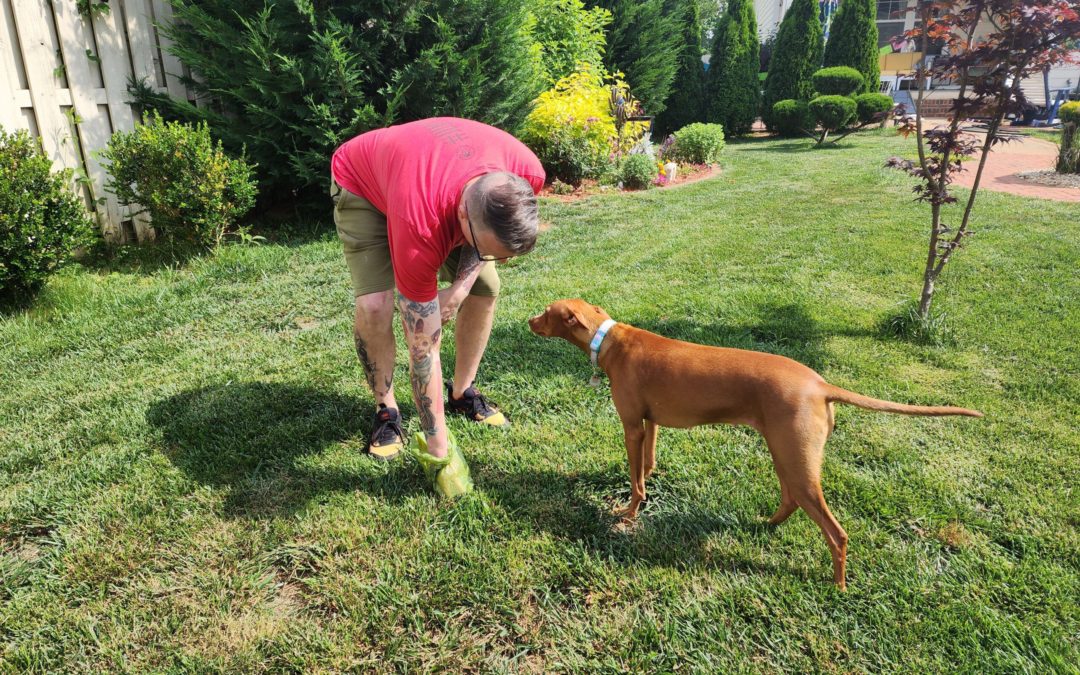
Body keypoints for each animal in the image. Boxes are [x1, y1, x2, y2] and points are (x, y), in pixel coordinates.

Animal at [527, 298, 984, 587]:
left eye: (547, 312)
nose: (529, 322)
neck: (609, 339)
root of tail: (821, 385)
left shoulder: (631, 427)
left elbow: (636, 480)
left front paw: (627, 513)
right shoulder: (649, 423)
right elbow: (649, 464)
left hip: (796, 463)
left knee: (835, 533)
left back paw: (837, 585)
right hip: (786, 454)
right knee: (790, 500)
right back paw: (766, 525)